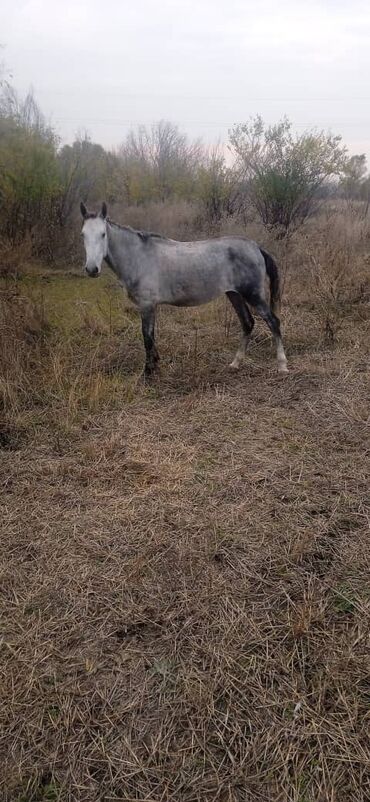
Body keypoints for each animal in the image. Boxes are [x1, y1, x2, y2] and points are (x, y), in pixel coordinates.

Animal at [80, 200, 290, 376]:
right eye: (83, 234)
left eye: (103, 234)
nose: (92, 269)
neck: (138, 256)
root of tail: (256, 247)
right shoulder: (151, 306)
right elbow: (151, 336)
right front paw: (155, 365)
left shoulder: (146, 305)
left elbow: (147, 337)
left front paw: (148, 373)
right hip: (234, 294)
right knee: (247, 323)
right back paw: (235, 363)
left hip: (253, 295)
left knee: (273, 321)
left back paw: (282, 365)